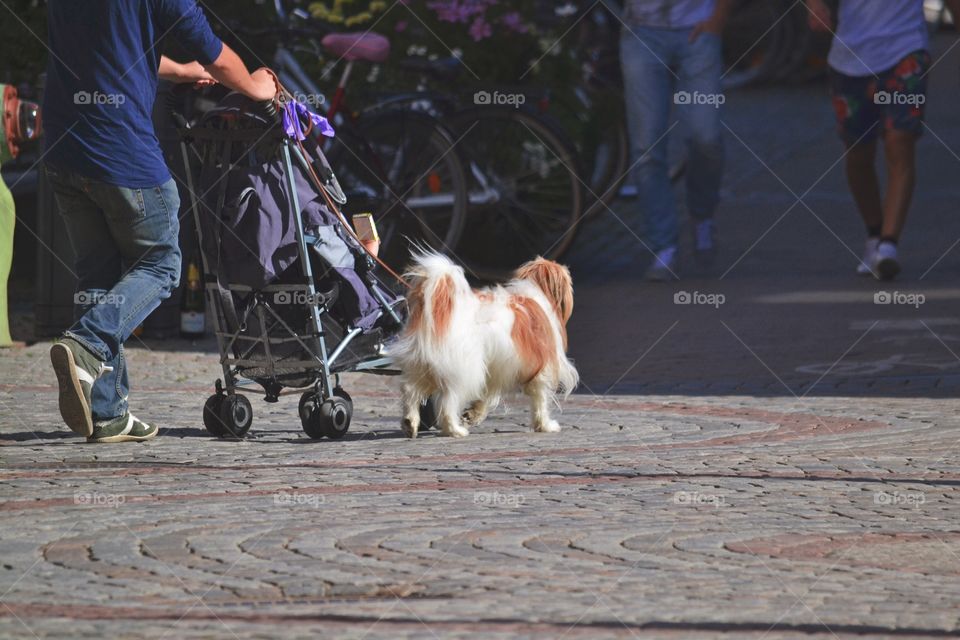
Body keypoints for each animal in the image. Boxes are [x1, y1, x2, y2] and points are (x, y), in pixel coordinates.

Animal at [390, 252, 576, 438]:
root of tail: (441, 307)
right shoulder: (541, 372)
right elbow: (541, 401)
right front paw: (545, 425)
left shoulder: (497, 370)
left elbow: (486, 397)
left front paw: (473, 415)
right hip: (464, 372)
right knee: (447, 401)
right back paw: (454, 429)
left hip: (422, 365)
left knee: (410, 390)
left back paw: (410, 423)